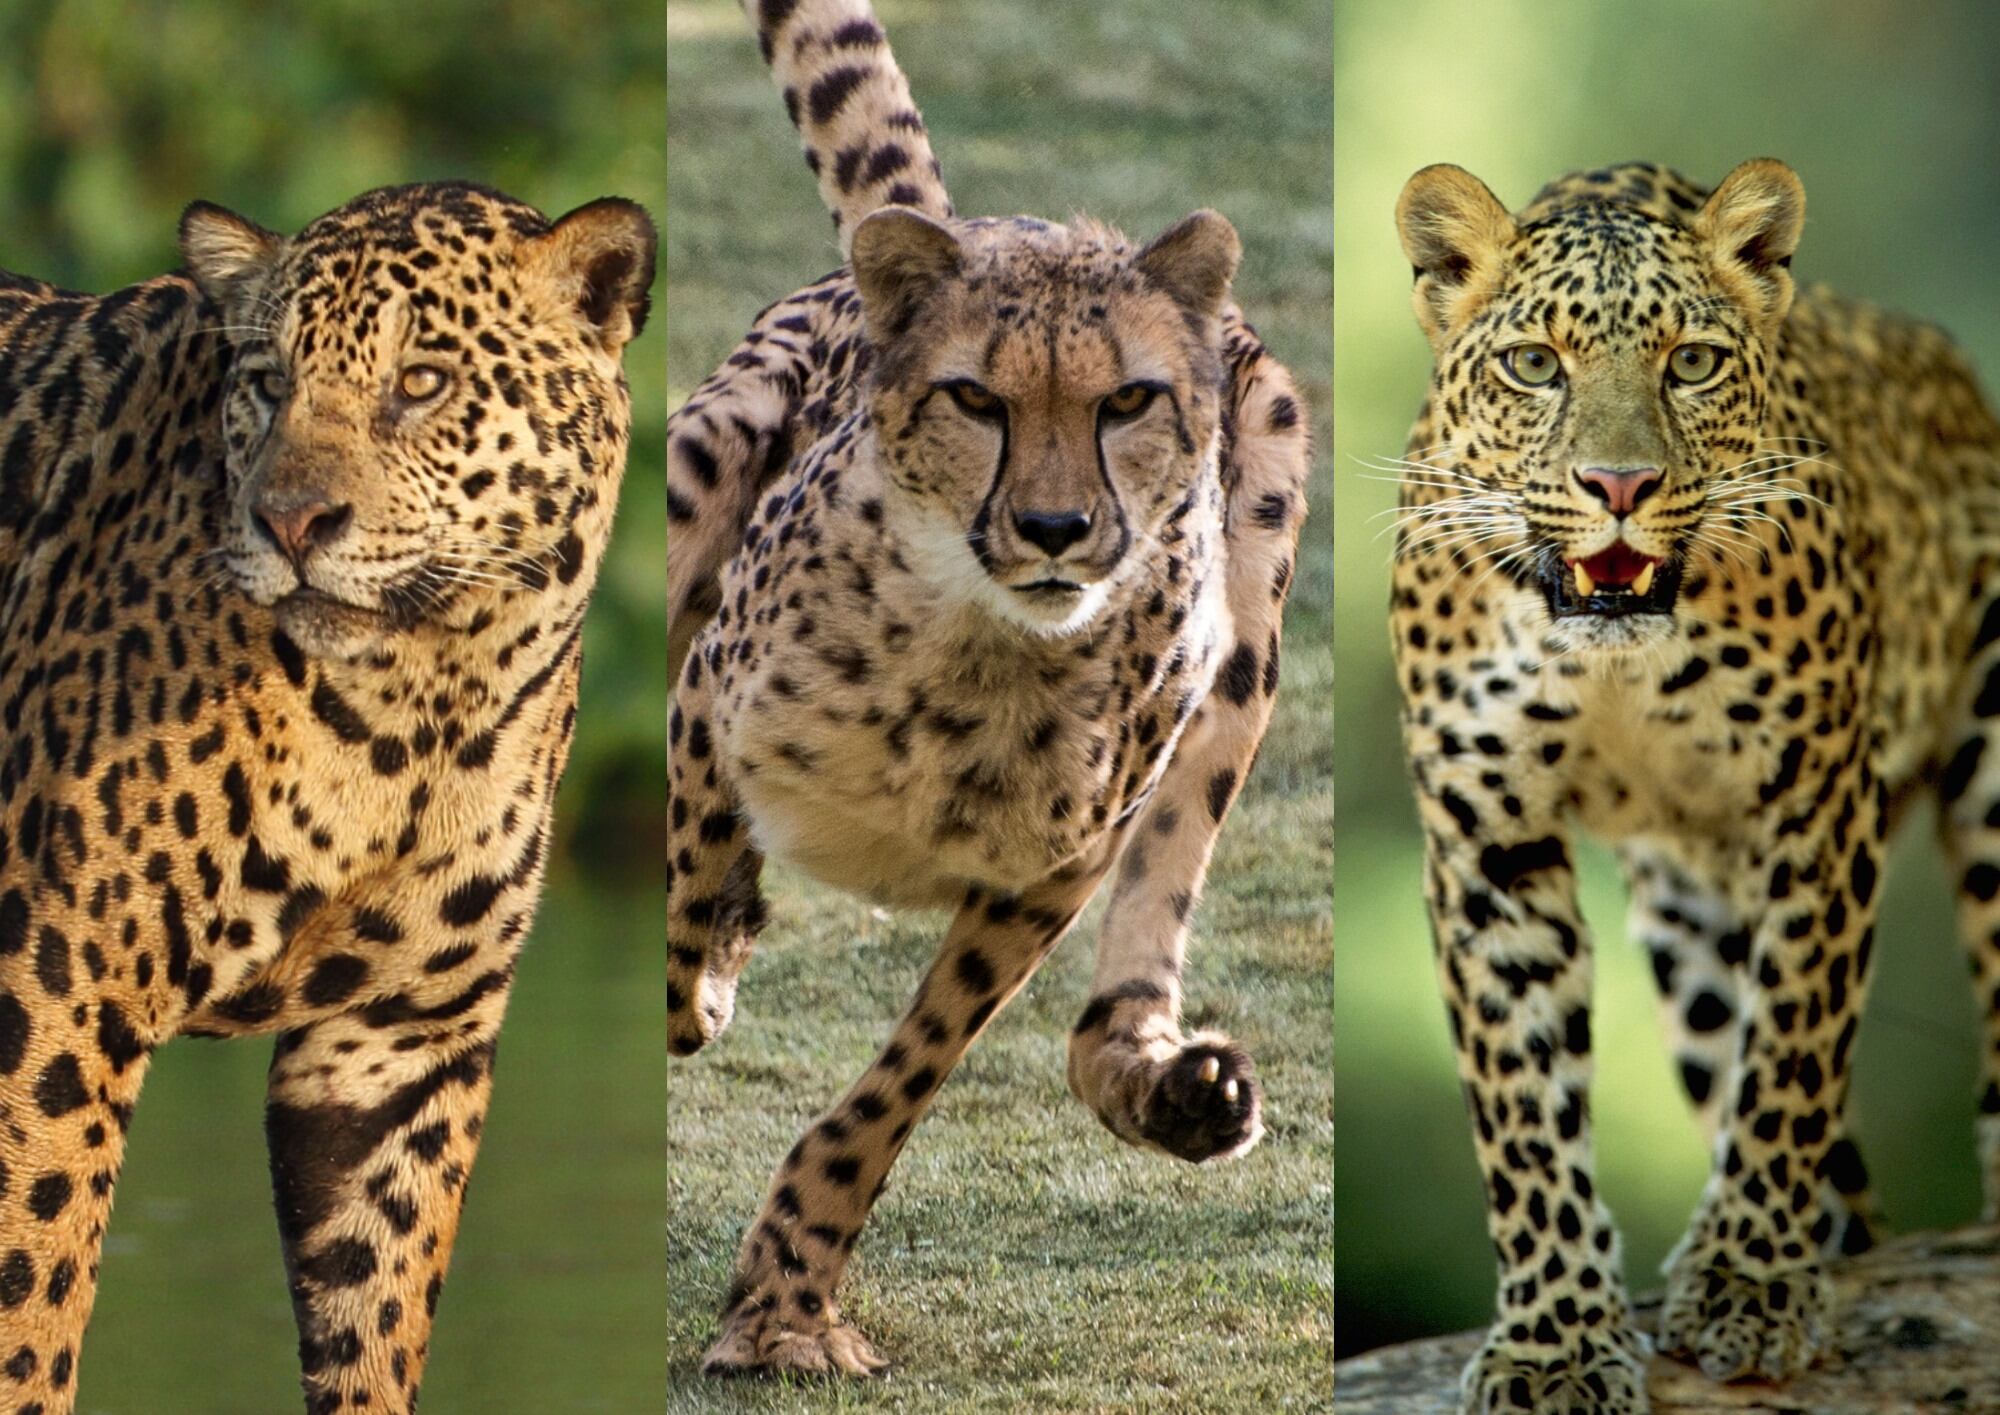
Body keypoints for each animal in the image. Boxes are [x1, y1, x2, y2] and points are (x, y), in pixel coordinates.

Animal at [0, 181, 654, 1414]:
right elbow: (32, 1295)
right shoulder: (54, 990)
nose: (292, 522)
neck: (419, 709)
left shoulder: (393, 1047)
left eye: (423, 381)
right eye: (267, 381)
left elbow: (375, 1317)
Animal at [666, 0, 1311, 1377]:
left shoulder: (1053, 867)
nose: (1057, 527)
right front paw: (708, 958)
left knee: (1108, 1010)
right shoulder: (703, 696)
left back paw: (1177, 1089)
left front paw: (787, 1303)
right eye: (975, 396)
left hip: (1249, 628)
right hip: (704, 450)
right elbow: (684, 891)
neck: (985, 649)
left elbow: (900, 1080)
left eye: (1127, 400)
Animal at [1387, 156, 2000, 1413]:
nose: (1617, 483)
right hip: (1690, 915)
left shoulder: (1817, 810)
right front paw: (1556, 1340)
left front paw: (1749, 1279)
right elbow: (1523, 1110)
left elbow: (1791, 1055)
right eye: (1535, 364)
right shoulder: (1487, 846)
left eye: (1692, 362)